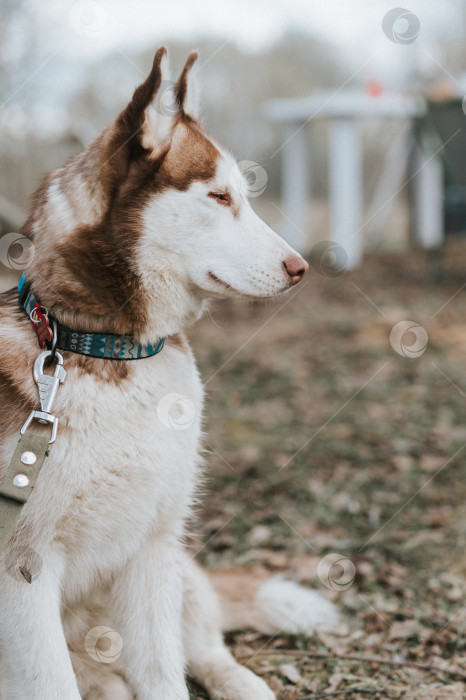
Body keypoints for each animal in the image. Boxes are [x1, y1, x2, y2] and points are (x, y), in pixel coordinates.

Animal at [0, 50, 336, 700]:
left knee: (200, 644)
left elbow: (165, 671)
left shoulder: (155, 546)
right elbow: (53, 679)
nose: (302, 267)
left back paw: (241, 682)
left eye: (242, 195)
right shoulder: (24, 567)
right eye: (220, 197)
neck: (112, 352)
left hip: (181, 572)